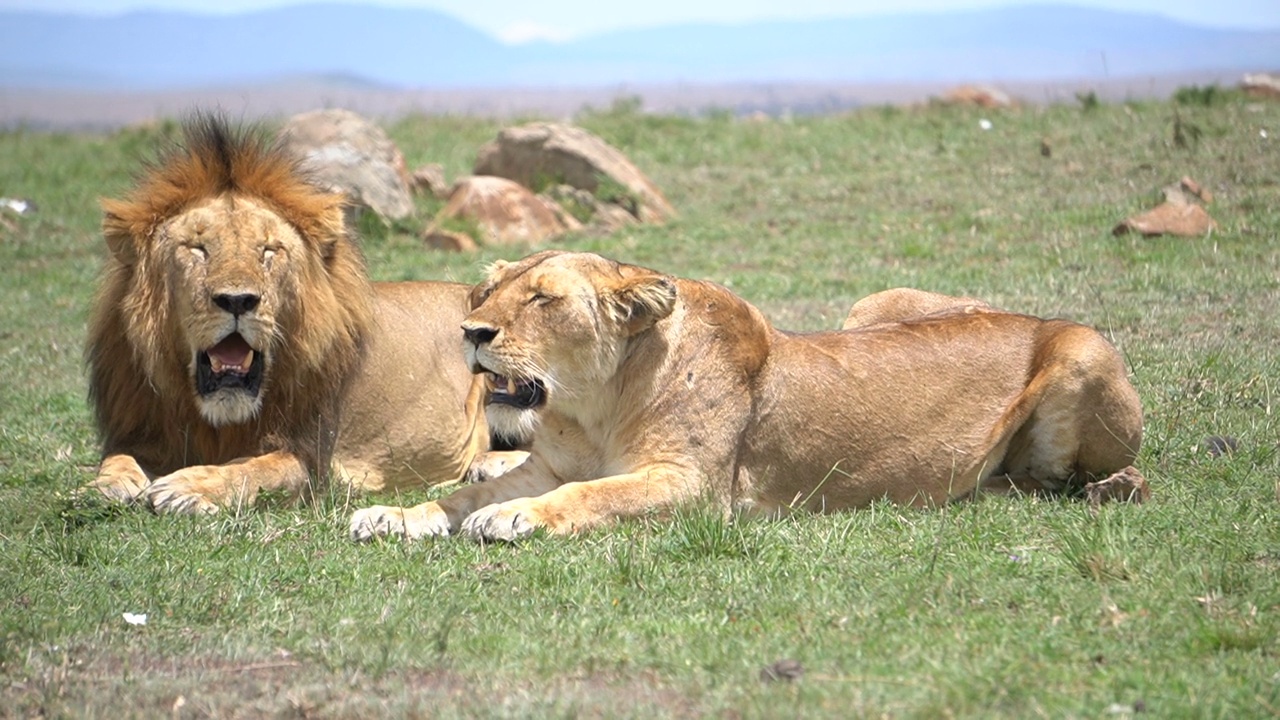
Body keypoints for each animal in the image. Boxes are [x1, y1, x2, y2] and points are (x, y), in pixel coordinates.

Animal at [86, 116, 494, 509]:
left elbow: (252, 469)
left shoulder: (312, 461)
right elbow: (117, 458)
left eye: (269, 250)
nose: (238, 300)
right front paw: (105, 486)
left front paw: (189, 485)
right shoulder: (143, 432)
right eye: (197, 248)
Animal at [348, 248, 1141, 538]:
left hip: (1083, 347)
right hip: (872, 303)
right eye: (488, 291)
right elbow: (459, 497)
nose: (471, 330)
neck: (593, 408)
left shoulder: (696, 488)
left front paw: (515, 518)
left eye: (542, 299)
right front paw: (394, 514)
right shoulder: (547, 463)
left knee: (1093, 479)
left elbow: (591, 495)